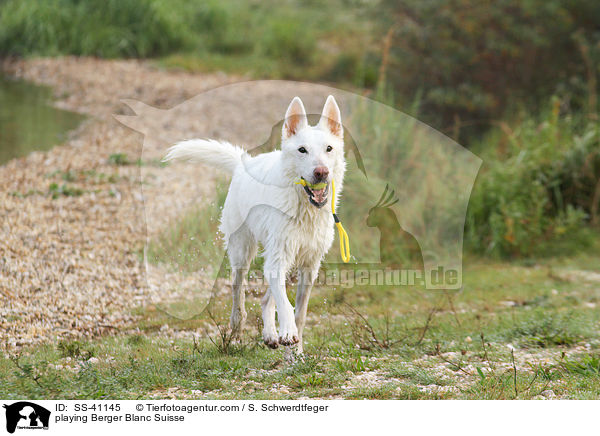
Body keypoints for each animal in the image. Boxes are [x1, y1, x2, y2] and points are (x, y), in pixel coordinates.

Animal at [164, 96, 346, 354]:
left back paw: (270, 335)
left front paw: (297, 351)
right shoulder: (278, 259)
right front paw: (287, 333)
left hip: (282, 259)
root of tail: (243, 164)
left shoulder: (309, 266)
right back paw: (237, 333)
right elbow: (286, 304)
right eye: (302, 150)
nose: (321, 172)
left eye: (329, 149)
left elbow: (299, 313)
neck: (304, 209)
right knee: (238, 293)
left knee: (266, 298)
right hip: (243, 252)